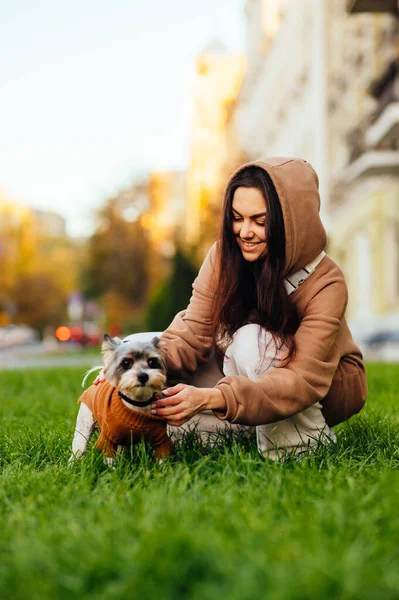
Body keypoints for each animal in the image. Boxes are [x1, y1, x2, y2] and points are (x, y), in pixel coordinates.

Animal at [70, 336, 172, 466]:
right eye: (126, 363)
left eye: (152, 362)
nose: (143, 376)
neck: (138, 404)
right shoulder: (108, 439)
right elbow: (110, 460)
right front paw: (112, 470)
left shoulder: (160, 439)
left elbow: (163, 459)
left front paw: (165, 470)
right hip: (84, 426)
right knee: (79, 446)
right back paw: (72, 464)